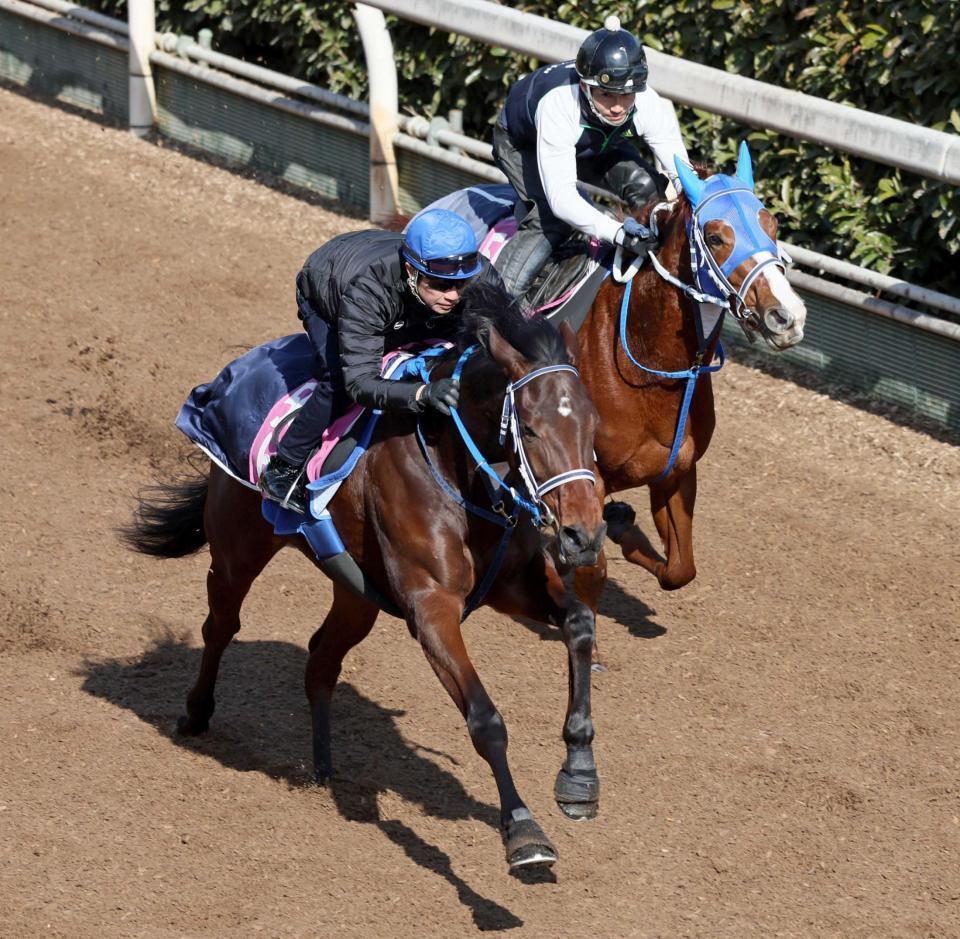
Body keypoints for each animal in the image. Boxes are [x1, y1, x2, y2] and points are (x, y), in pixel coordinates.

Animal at [122, 284, 606, 870]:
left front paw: (579, 776)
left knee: (321, 658)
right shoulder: (431, 606)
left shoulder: (514, 585)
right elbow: (486, 720)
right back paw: (196, 715)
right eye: (531, 429)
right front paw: (523, 831)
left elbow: (580, 624)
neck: (460, 466)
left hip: (358, 594)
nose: (583, 535)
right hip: (239, 544)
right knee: (221, 625)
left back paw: (323, 767)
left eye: (593, 425)